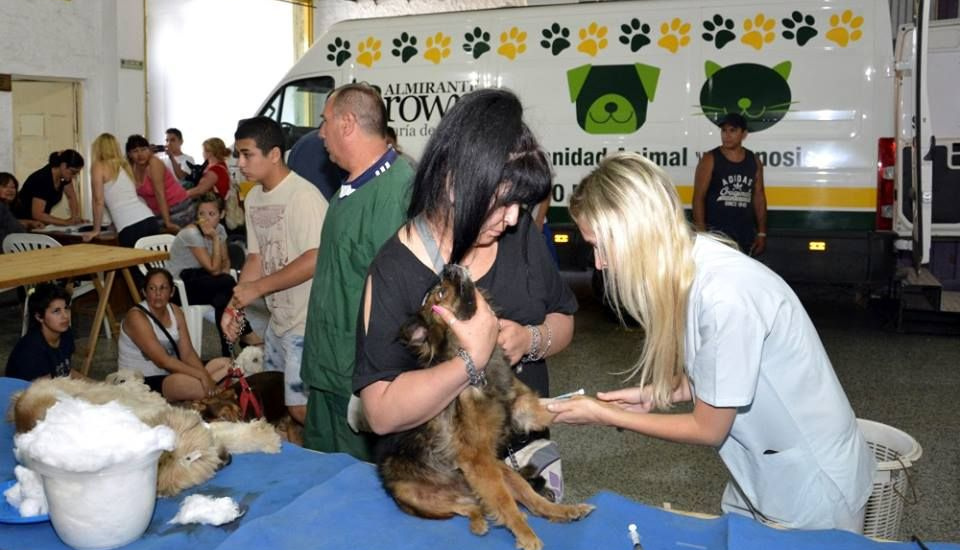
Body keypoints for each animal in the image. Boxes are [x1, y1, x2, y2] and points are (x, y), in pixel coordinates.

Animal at [376, 266, 592, 550]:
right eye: (441, 293)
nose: (449, 267)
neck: (481, 372)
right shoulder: (478, 460)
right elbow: (504, 504)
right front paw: (526, 536)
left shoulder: (523, 411)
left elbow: (558, 406)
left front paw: (603, 405)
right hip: (422, 494)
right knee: (468, 507)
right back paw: (483, 523)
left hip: (502, 470)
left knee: (527, 498)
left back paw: (564, 511)